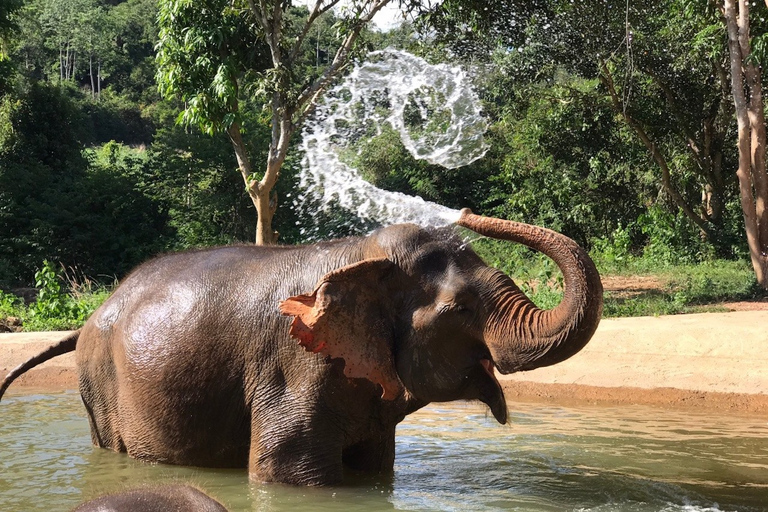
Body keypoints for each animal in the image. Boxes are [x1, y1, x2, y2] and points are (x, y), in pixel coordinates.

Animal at [0, 208, 604, 484]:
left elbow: (374, 469)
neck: (359, 255)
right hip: (100, 391)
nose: (463, 213)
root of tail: (88, 319)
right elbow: (287, 470)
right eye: (459, 310)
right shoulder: (295, 366)